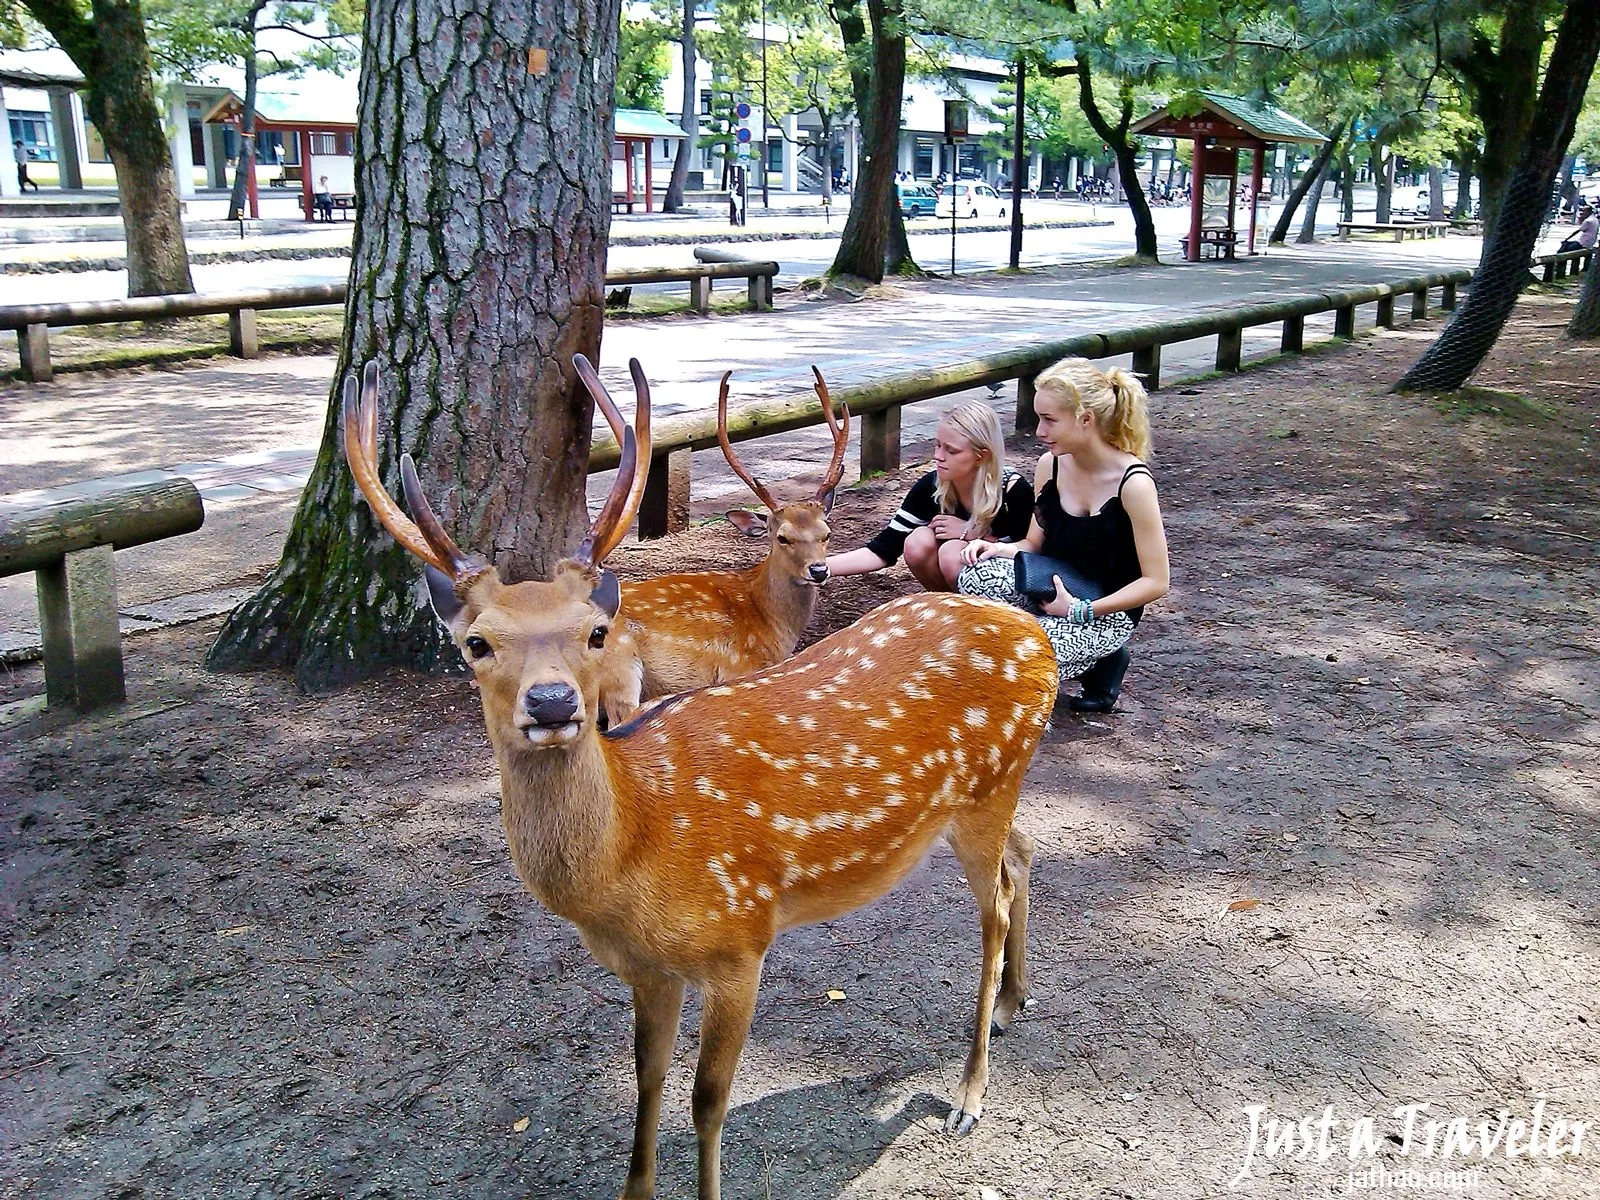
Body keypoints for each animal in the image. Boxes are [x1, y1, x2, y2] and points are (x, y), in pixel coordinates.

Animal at [576, 357, 849, 706]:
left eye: (826, 532)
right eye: (782, 537)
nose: (818, 570)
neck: (771, 625)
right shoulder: (739, 666)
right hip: (620, 667)